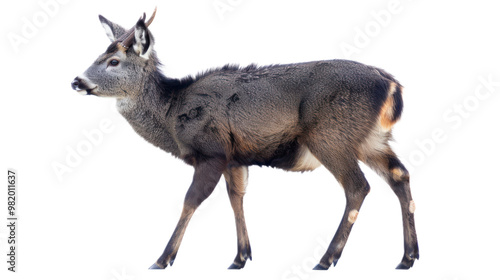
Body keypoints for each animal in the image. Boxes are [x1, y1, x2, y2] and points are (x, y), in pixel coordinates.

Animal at [71, 8, 418, 270]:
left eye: (113, 61)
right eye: (101, 55)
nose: (76, 81)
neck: (172, 113)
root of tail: (393, 87)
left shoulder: (212, 151)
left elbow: (191, 200)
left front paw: (162, 259)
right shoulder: (235, 158)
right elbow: (236, 198)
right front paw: (241, 257)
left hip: (332, 136)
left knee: (358, 187)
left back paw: (327, 259)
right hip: (372, 139)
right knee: (400, 175)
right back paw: (408, 257)